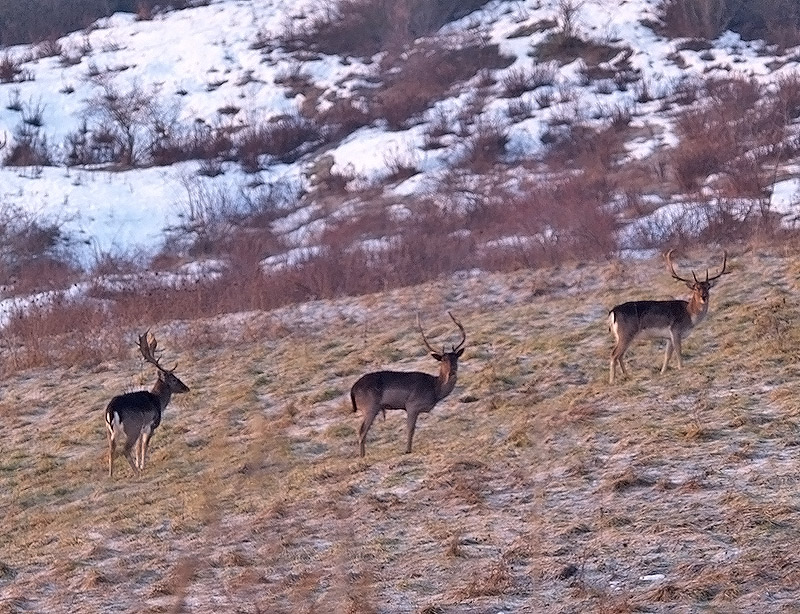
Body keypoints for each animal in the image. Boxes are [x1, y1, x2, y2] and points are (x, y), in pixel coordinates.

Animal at [105, 334, 190, 478]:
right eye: (174, 379)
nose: (186, 388)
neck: (158, 401)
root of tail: (112, 410)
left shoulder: (142, 428)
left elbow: (138, 447)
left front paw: (139, 464)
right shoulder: (151, 424)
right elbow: (144, 446)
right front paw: (142, 466)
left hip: (110, 431)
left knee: (111, 450)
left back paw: (111, 474)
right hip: (132, 427)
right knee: (125, 449)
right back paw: (136, 472)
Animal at [348, 316, 466, 460]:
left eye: (456, 358)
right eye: (443, 360)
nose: (452, 372)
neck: (435, 389)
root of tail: (353, 389)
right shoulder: (412, 405)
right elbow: (411, 429)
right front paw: (407, 450)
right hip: (370, 407)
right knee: (361, 431)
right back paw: (362, 457)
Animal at [608, 250, 728, 384]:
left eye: (707, 287)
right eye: (696, 288)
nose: (704, 297)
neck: (690, 315)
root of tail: (613, 312)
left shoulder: (668, 337)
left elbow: (667, 355)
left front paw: (662, 372)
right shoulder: (676, 330)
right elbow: (679, 351)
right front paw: (681, 368)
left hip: (620, 336)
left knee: (620, 355)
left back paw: (627, 376)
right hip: (626, 333)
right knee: (614, 354)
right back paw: (612, 381)